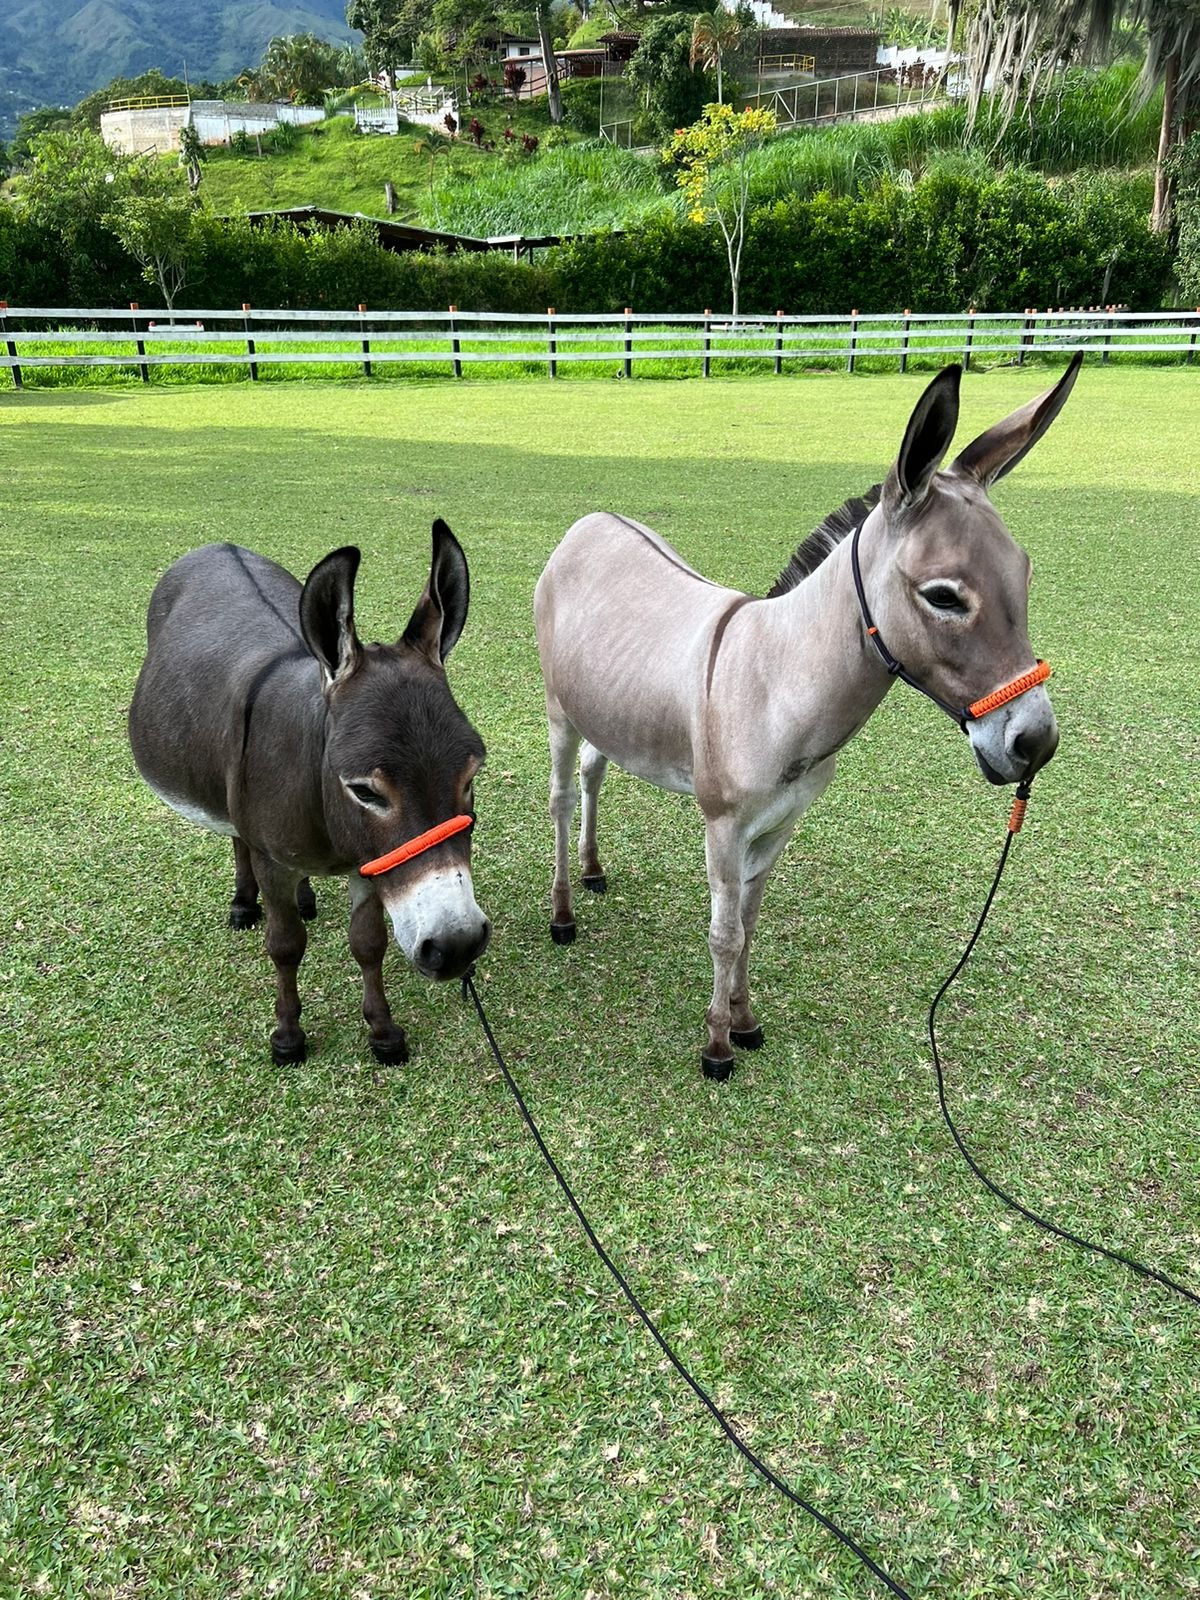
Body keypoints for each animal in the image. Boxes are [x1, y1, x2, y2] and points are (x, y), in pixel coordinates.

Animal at [129, 521, 491, 1065]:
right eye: (364, 791)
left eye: (470, 775)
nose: (458, 946)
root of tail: (218, 546)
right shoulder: (275, 858)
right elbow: (285, 945)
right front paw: (288, 1036)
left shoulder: (369, 864)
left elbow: (368, 942)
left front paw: (383, 1032)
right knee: (239, 838)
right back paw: (244, 904)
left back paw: (303, 896)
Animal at [534, 358, 1080, 1079]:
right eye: (943, 597)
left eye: (1025, 574)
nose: (1036, 741)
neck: (776, 686)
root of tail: (592, 520)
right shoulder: (723, 826)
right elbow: (724, 932)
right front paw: (715, 1049)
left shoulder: (782, 824)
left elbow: (750, 927)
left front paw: (744, 1023)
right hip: (558, 712)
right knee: (563, 798)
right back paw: (564, 913)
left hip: (605, 709)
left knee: (596, 773)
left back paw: (594, 870)